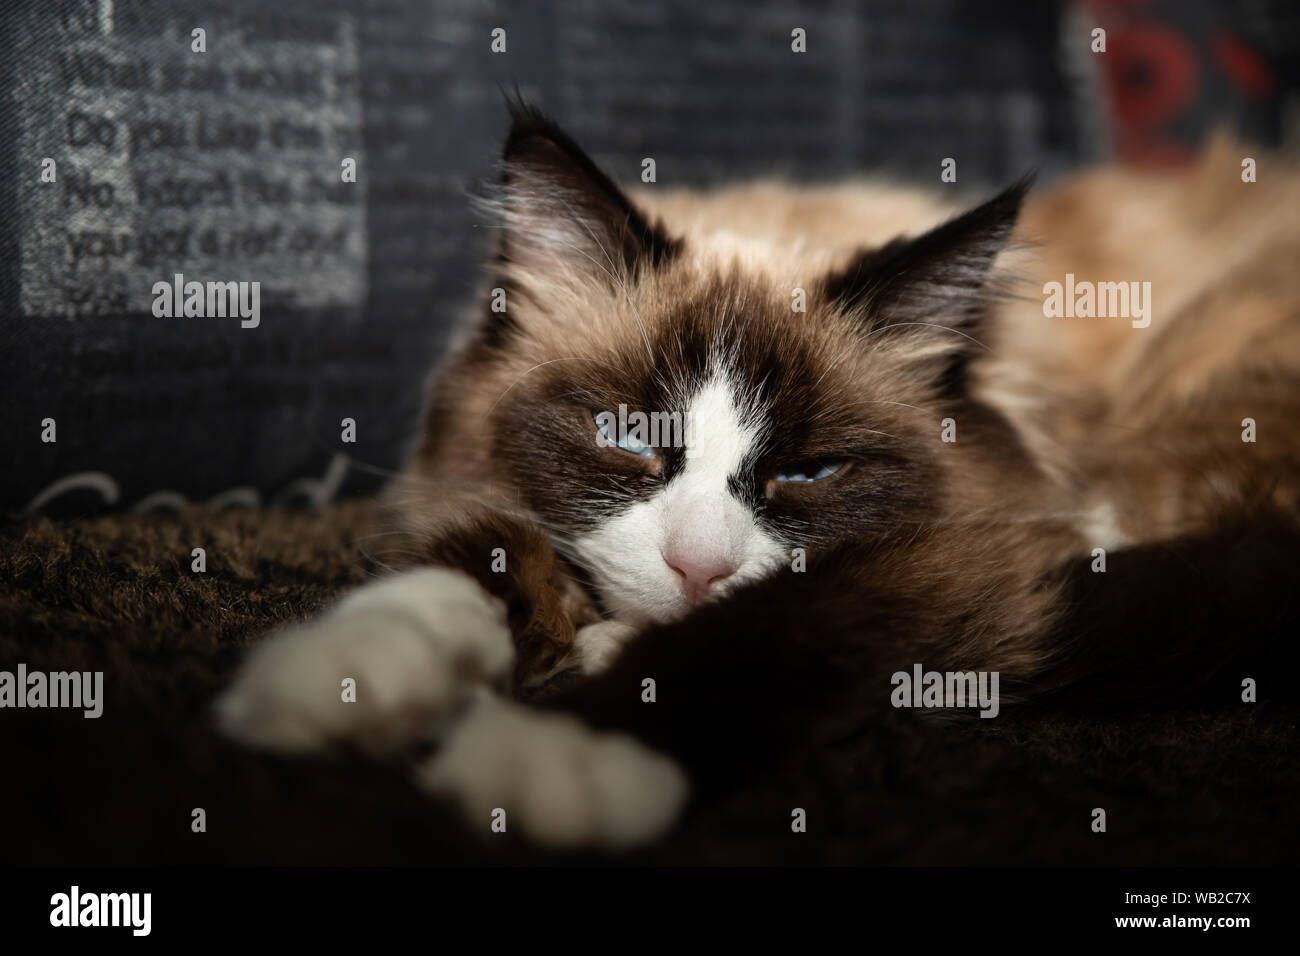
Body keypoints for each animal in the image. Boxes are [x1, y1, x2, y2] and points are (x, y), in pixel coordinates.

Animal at [218, 102, 1300, 853]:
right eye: (627, 435)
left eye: (808, 471)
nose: (697, 568)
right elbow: (471, 565)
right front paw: (354, 672)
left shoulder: (975, 558)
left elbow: (768, 627)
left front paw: (558, 753)